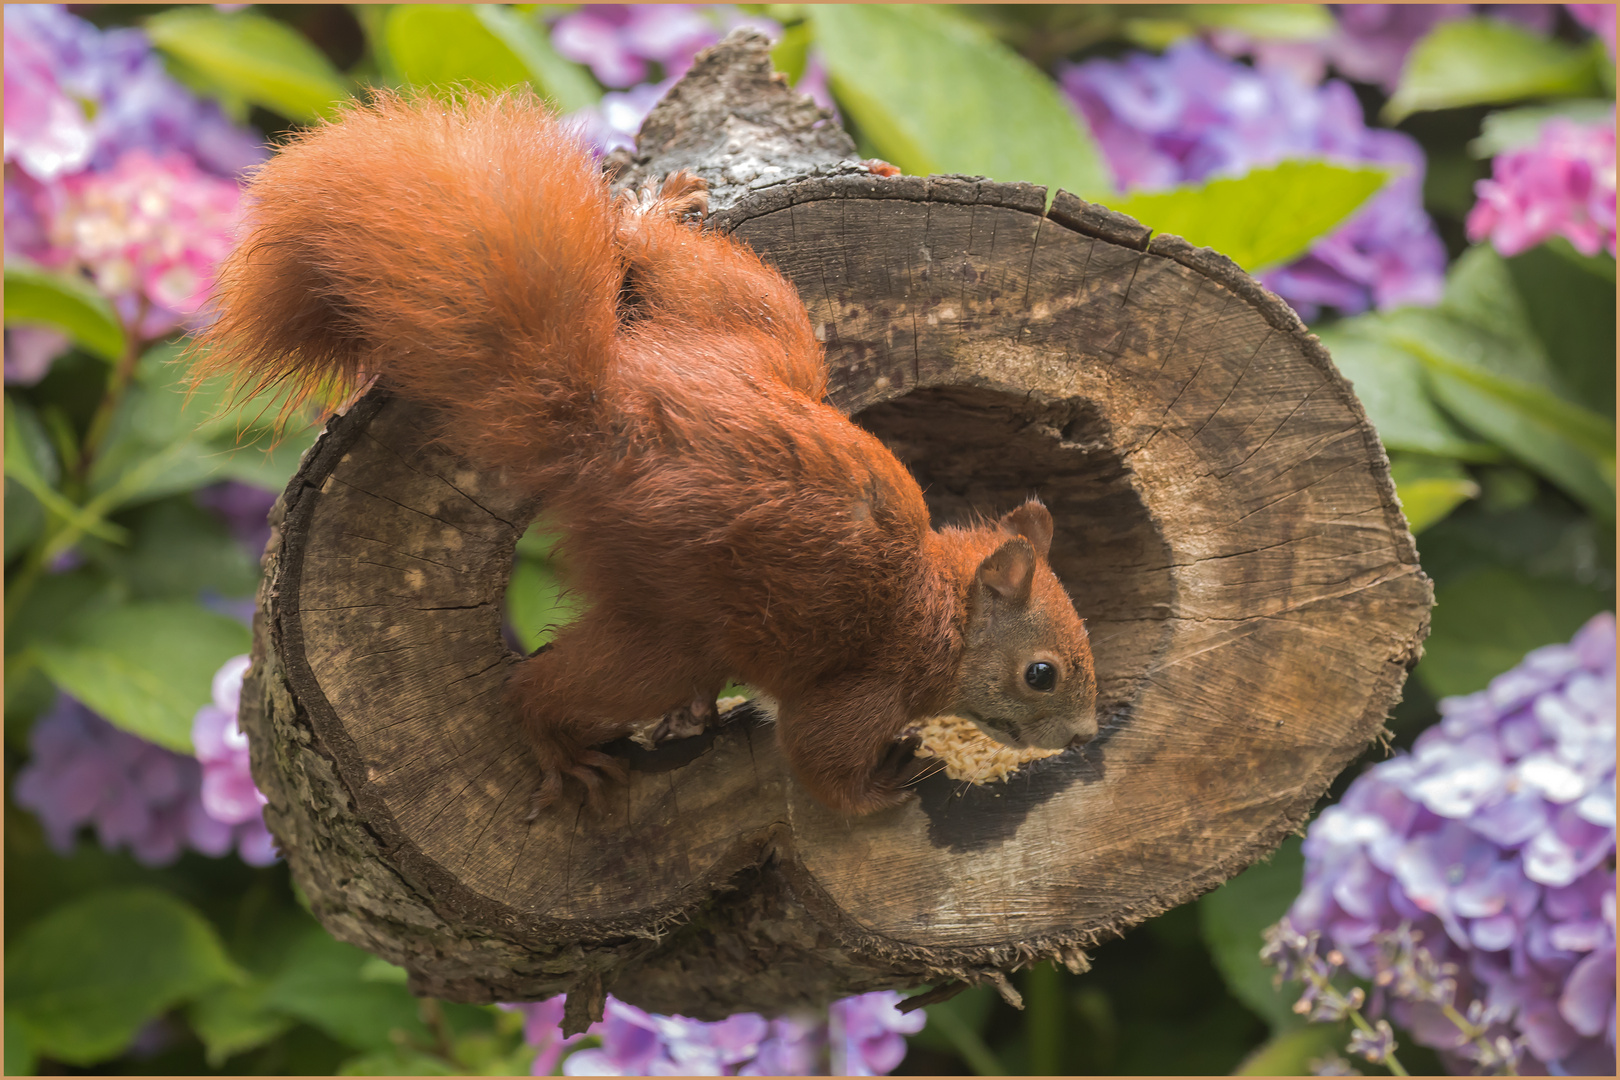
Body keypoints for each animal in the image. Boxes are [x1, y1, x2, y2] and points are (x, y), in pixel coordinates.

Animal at [196, 93, 1095, 819]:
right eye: (1041, 674)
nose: (1086, 736)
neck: (939, 608)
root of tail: (615, 417)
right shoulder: (861, 692)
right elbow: (819, 764)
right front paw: (883, 791)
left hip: (749, 329)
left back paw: (649, 216)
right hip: (672, 626)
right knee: (547, 686)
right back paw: (556, 743)